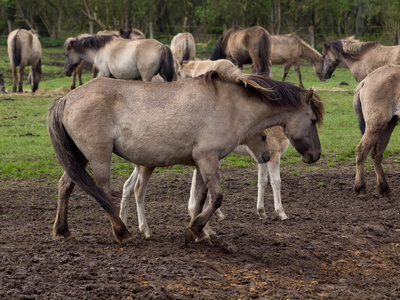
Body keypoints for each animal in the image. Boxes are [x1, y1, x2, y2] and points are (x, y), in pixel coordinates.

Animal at [47, 65, 324, 244]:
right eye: (312, 119)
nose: (315, 155)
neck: (231, 106)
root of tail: (66, 98)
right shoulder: (208, 159)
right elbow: (217, 197)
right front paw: (197, 229)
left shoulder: (201, 163)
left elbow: (201, 198)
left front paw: (198, 231)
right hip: (99, 156)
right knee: (103, 190)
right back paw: (122, 232)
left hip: (79, 157)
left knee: (65, 185)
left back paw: (62, 230)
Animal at [354, 63, 400, 197]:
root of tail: (366, 80)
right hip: (375, 125)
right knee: (361, 151)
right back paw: (360, 187)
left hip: (388, 125)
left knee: (377, 154)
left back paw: (384, 188)